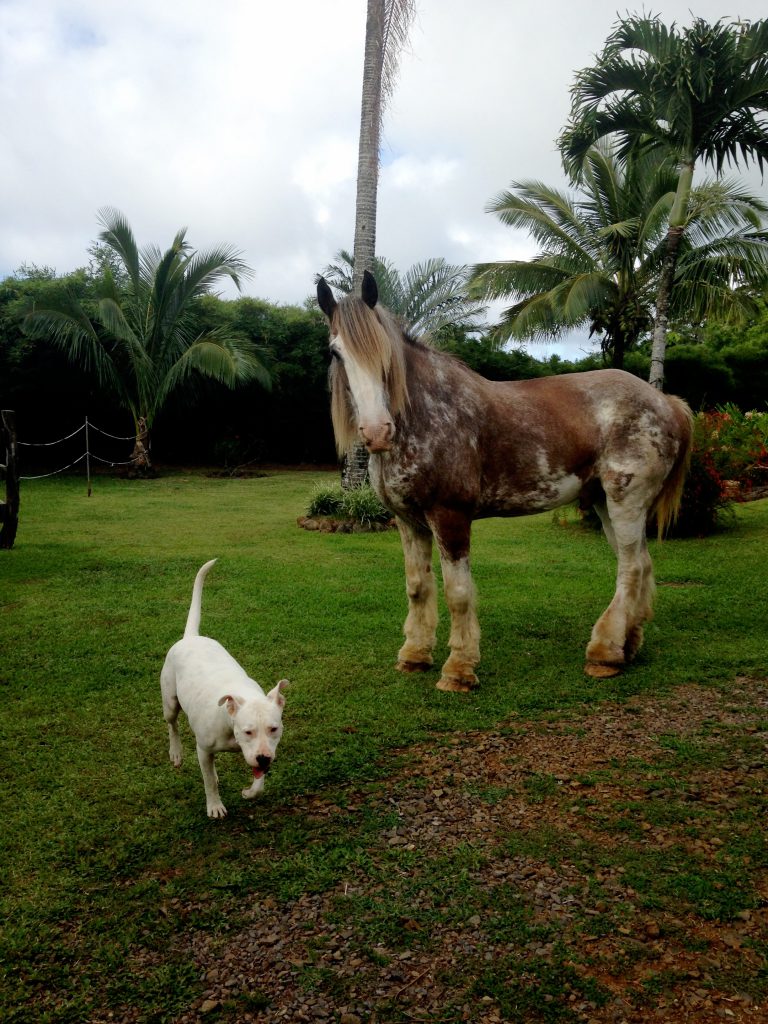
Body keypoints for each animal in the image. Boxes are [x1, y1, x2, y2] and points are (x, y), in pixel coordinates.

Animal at [160, 561, 290, 815]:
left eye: (274, 729)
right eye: (248, 731)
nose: (264, 758)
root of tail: (191, 637)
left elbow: (258, 782)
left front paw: (250, 792)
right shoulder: (203, 748)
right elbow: (208, 781)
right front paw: (214, 805)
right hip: (170, 701)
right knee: (173, 725)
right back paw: (176, 752)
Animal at [315, 272, 696, 692]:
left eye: (384, 349)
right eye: (336, 353)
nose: (376, 432)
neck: (427, 415)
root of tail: (666, 402)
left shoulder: (450, 516)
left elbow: (458, 593)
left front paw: (459, 670)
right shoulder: (409, 521)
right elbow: (417, 587)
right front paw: (414, 655)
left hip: (625, 500)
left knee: (629, 569)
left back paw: (605, 654)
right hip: (604, 503)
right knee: (641, 563)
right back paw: (628, 645)